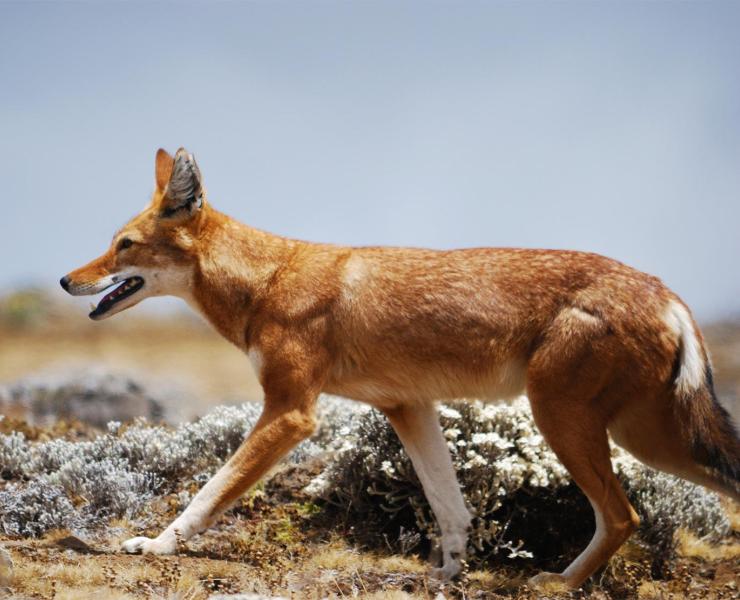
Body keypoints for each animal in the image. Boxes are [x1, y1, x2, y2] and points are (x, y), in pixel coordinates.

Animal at [60, 148, 736, 588]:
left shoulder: (291, 414)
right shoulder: (408, 407)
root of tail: (664, 290)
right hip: (645, 437)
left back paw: (556, 583)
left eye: (122, 245)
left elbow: (208, 492)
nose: (67, 279)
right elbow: (451, 507)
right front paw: (447, 574)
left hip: (576, 424)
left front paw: (154, 543)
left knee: (622, 516)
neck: (268, 279)